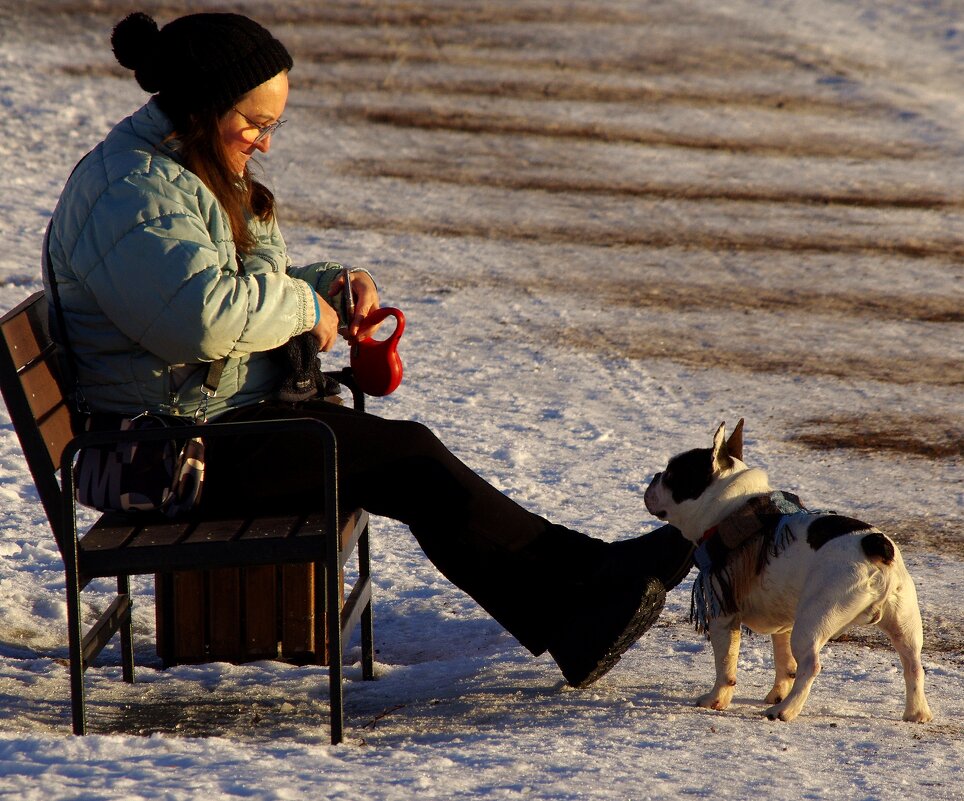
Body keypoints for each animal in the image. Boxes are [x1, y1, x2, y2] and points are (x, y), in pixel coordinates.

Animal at [644, 422, 932, 720]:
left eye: (672, 474)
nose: (655, 475)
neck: (731, 509)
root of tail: (875, 546)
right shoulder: (783, 622)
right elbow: (784, 661)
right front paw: (776, 692)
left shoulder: (723, 611)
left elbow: (725, 662)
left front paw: (716, 699)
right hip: (904, 619)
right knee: (913, 664)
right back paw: (917, 713)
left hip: (816, 617)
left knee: (811, 665)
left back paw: (785, 710)